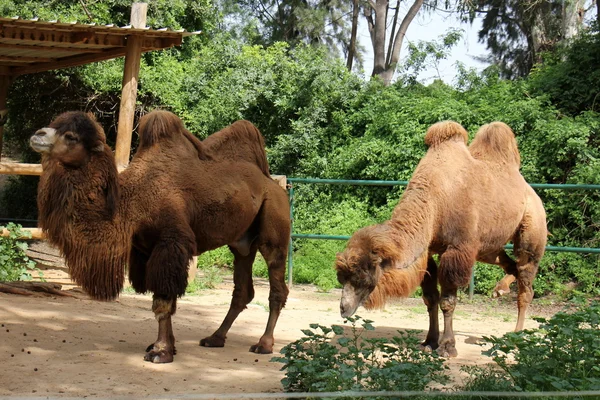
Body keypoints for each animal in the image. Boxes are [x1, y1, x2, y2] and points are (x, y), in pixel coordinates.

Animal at [29, 109, 290, 362]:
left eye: (71, 136)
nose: (37, 135)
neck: (131, 204)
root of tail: (273, 183)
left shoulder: (171, 243)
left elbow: (163, 301)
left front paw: (160, 351)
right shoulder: (146, 250)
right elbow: (167, 300)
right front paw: (168, 346)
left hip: (274, 227)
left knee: (277, 285)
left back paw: (264, 344)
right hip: (241, 243)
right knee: (243, 288)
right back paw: (215, 338)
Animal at [336, 120, 548, 358]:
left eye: (362, 278)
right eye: (341, 278)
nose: (343, 309)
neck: (434, 201)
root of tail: (530, 191)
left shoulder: (456, 250)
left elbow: (447, 301)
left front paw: (447, 346)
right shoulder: (427, 250)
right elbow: (430, 298)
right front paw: (430, 341)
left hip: (532, 229)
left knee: (526, 277)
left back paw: (516, 335)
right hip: (486, 247)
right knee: (511, 264)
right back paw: (499, 289)